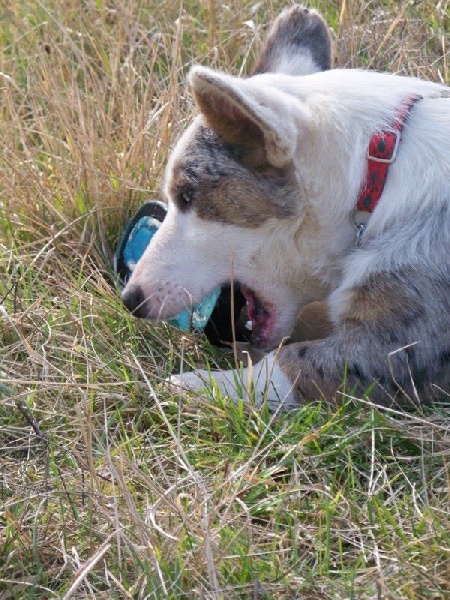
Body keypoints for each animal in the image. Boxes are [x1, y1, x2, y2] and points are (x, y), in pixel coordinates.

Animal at [122, 5, 450, 411]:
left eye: (186, 195)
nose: (130, 300)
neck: (375, 181)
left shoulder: (400, 348)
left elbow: (290, 360)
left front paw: (192, 386)